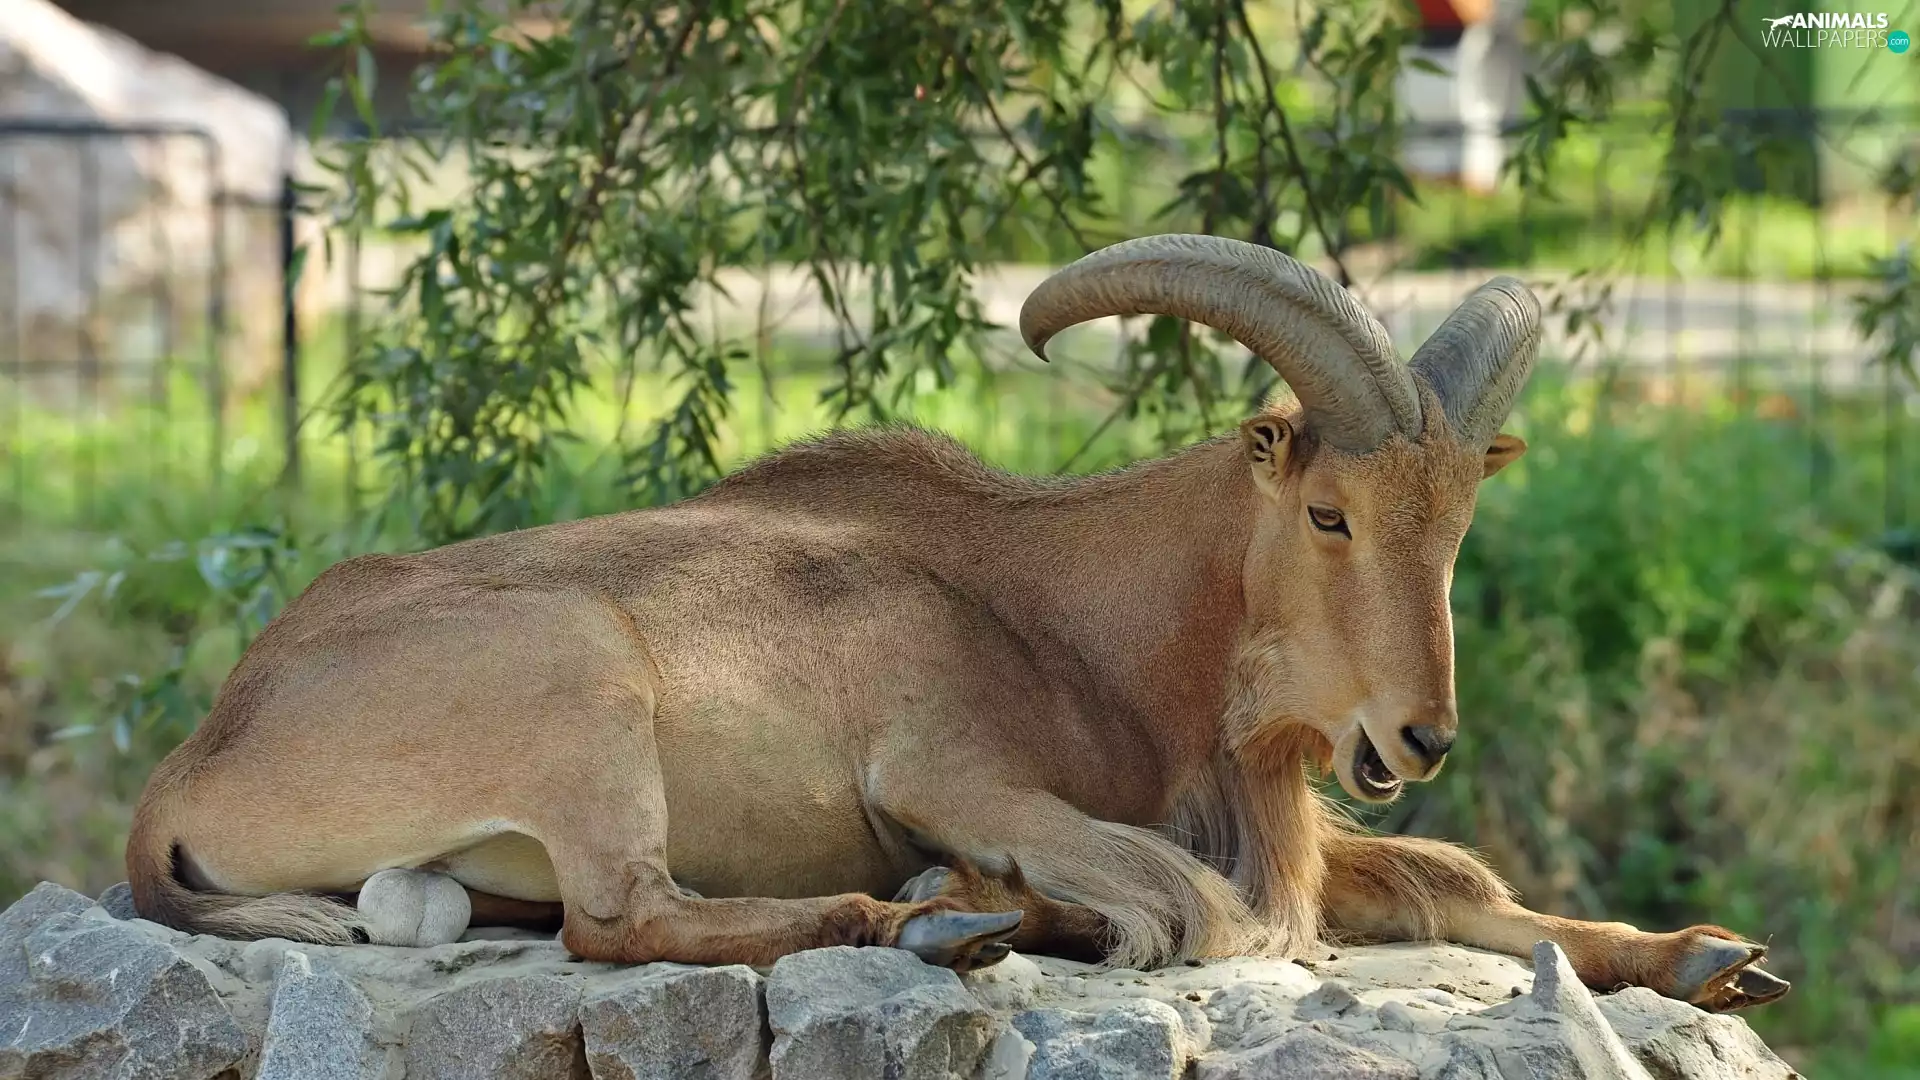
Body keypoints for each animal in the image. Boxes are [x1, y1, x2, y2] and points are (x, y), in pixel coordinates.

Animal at [124, 234, 1788, 1012]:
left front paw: (1705, 954)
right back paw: (925, 920)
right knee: (622, 916)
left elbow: (1452, 884)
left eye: (1455, 528)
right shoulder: (954, 773)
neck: (1085, 612)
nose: (1419, 734)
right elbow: (1212, 908)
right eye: (1330, 515)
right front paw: (1001, 901)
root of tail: (190, 765)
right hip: (576, 681)